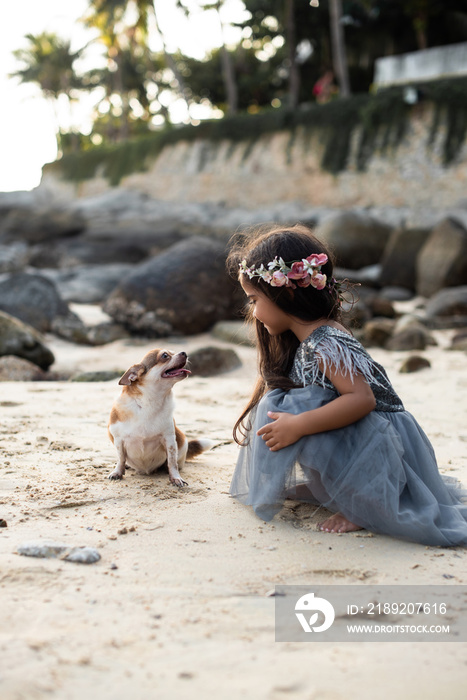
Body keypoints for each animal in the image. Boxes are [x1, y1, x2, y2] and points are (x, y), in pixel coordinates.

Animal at [108, 350, 212, 486]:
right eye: (165, 355)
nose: (184, 352)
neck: (150, 402)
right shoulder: (119, 440)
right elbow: (121, 458)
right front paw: (117, 472)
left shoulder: (170, 440)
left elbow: (172, 463)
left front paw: (176, 478)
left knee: (175, 463)